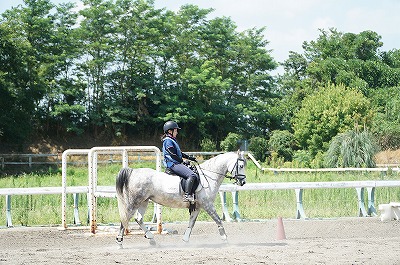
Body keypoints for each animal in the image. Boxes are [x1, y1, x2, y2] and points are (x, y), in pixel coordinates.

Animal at [115, 151, 247, 245]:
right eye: (240, 165)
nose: (243, 182)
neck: (208, 176)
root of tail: (133, 172)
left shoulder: (197, 207)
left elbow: (191, 223)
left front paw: (185, 240)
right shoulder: (207, 205)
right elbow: (218, 220)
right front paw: (225, 239)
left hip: (144, 201)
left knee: (138, 219)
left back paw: (152, 240)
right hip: (134, 202)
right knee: (125, 218)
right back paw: (119, 241)